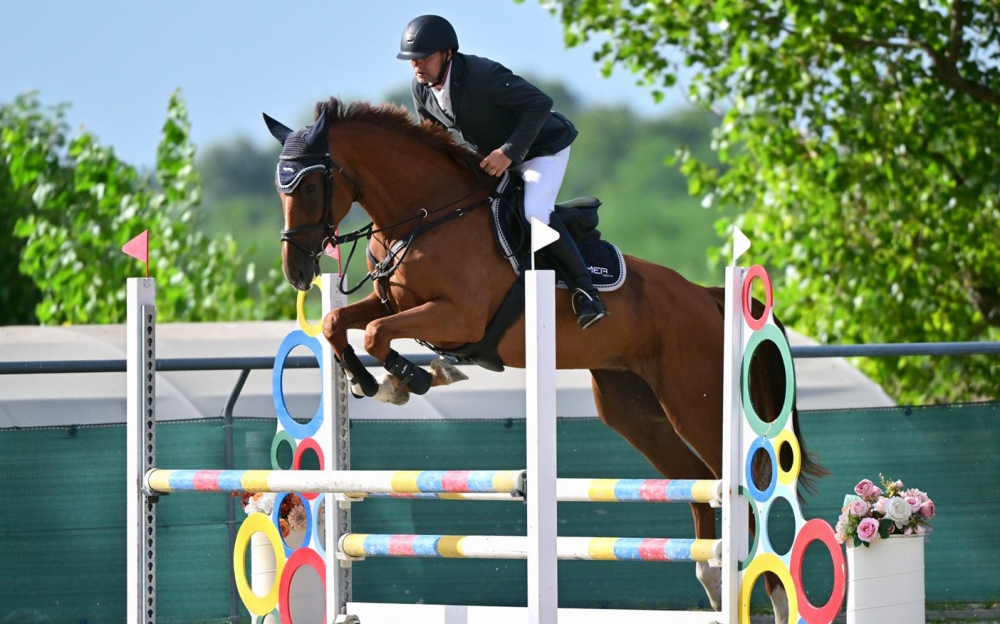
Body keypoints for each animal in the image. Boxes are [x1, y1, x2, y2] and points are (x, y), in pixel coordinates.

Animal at [262, 97, 824, 620]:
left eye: (309, 187)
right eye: (280, 188)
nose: (297, 271)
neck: (428, 215)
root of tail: (708, 296)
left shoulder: (457, 317)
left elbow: (380, 334)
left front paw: (413, 377)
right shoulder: (394, 302)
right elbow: (338, 324)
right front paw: (373, 382)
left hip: (697, 404)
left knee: (738, 489)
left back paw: (770, 597)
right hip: (633, 410)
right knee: (694, 480)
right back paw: (711, 578)